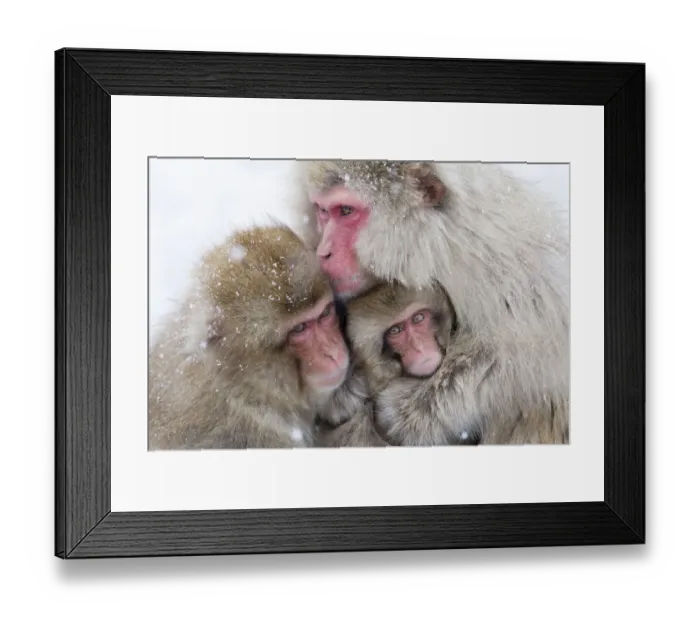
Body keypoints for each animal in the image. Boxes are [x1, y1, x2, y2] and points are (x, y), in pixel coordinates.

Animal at [292, 160, 570, 445]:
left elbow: (521, 356)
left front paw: (403, 411)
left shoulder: (498, 267)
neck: (432, 247)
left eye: (346, 211)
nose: (323, 252)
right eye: (322, 211)